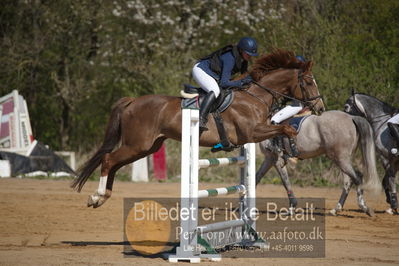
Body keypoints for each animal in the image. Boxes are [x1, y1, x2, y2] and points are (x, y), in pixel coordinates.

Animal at [72, 50, 324, 208]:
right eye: (308, 82)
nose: (320, 108)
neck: (256, 97)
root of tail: (133, 101)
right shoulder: (253, 133)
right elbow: (287, 129)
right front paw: (293, 150)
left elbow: (284, 129)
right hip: (137, 145)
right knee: (108, 160)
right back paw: (97, 195)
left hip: (146, 147)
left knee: (114, 163)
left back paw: (101, 197)